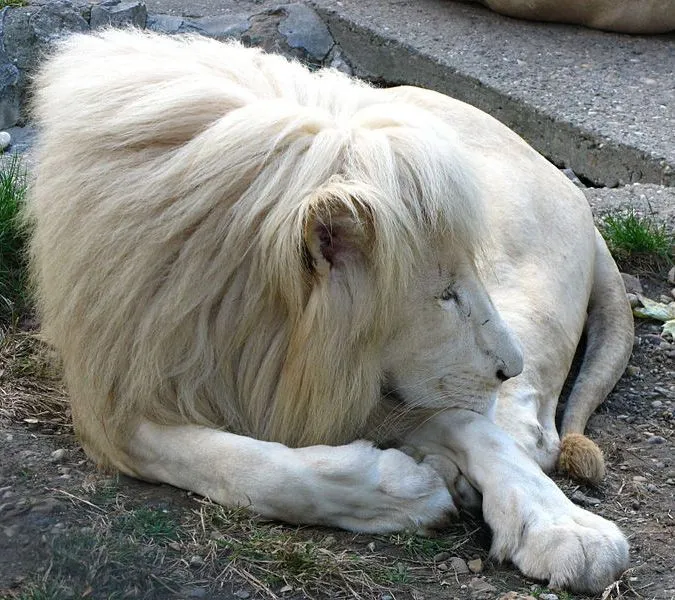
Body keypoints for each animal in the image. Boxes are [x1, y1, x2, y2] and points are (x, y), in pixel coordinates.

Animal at [26, 30, 636, 592]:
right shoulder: (116, 389)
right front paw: (403, 490)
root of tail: (574, 193)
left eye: (467, 279)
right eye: (445, 294)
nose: (509, 366)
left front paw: (564, 529)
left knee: (532, 431)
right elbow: (246, 466)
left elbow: (480, 432)